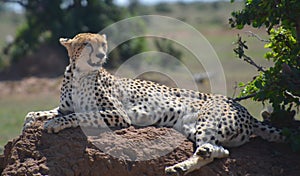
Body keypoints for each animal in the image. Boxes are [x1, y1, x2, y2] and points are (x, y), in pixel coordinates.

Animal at [22, 32, 284, 175]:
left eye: (102, 45)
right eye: (87, 44)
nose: (101, 55)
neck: (80, 73)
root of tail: (244, 109)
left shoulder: (118, 115)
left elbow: (79, 115)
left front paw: (55, 124)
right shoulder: (64, 106)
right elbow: (39, 113)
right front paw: (30, 122)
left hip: (207, 122)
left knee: (215, 150)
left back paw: (183, 164)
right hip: (192, 128)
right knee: (219, 151)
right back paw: (180, 167)